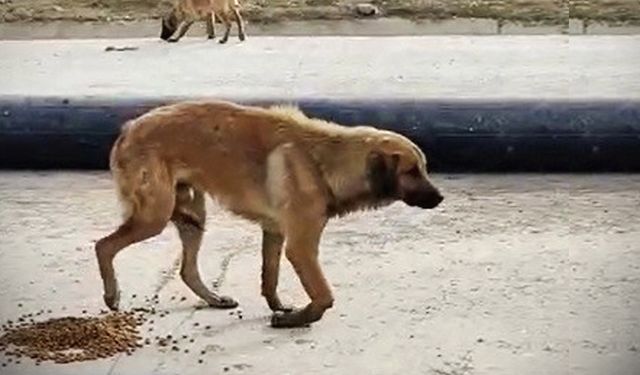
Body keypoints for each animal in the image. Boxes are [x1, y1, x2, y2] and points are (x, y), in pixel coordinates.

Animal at [96, 100, 444, 328]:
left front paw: (279, 307)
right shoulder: (301, 247)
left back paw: (213, 299)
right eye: (412, 172)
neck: (327, 161)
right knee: (103, 246)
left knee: (187, 270)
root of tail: (129, 128)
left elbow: (270, 277)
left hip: (193, 216)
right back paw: (112, 295)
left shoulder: (275, 232)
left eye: (424, 168)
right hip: (154, 216)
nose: (440, 198)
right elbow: (324, 295)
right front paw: (300, 318)